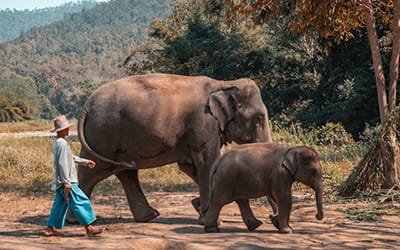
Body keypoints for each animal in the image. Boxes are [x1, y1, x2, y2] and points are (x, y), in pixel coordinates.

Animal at [77, 72, 274, 223]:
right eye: (258, 119)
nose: (272, 219)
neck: (223, 84)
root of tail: (87, 105)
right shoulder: (205, 124)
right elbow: (208, 163)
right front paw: (208, 218)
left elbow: (190, 167)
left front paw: (199, 206)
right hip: (104, 134)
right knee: (92, 171)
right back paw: (77, 220)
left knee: (126, 173)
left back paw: (149, 216)